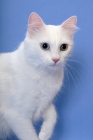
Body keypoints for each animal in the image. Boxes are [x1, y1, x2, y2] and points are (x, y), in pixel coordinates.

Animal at [0, 12, 77, 140]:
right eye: (44, 46)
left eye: (63, 47)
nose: (56, 59)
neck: (44, 75)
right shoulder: (17, 116)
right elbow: (30, 136)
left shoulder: (45, 102)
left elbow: (53, 114)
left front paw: (44, 134)